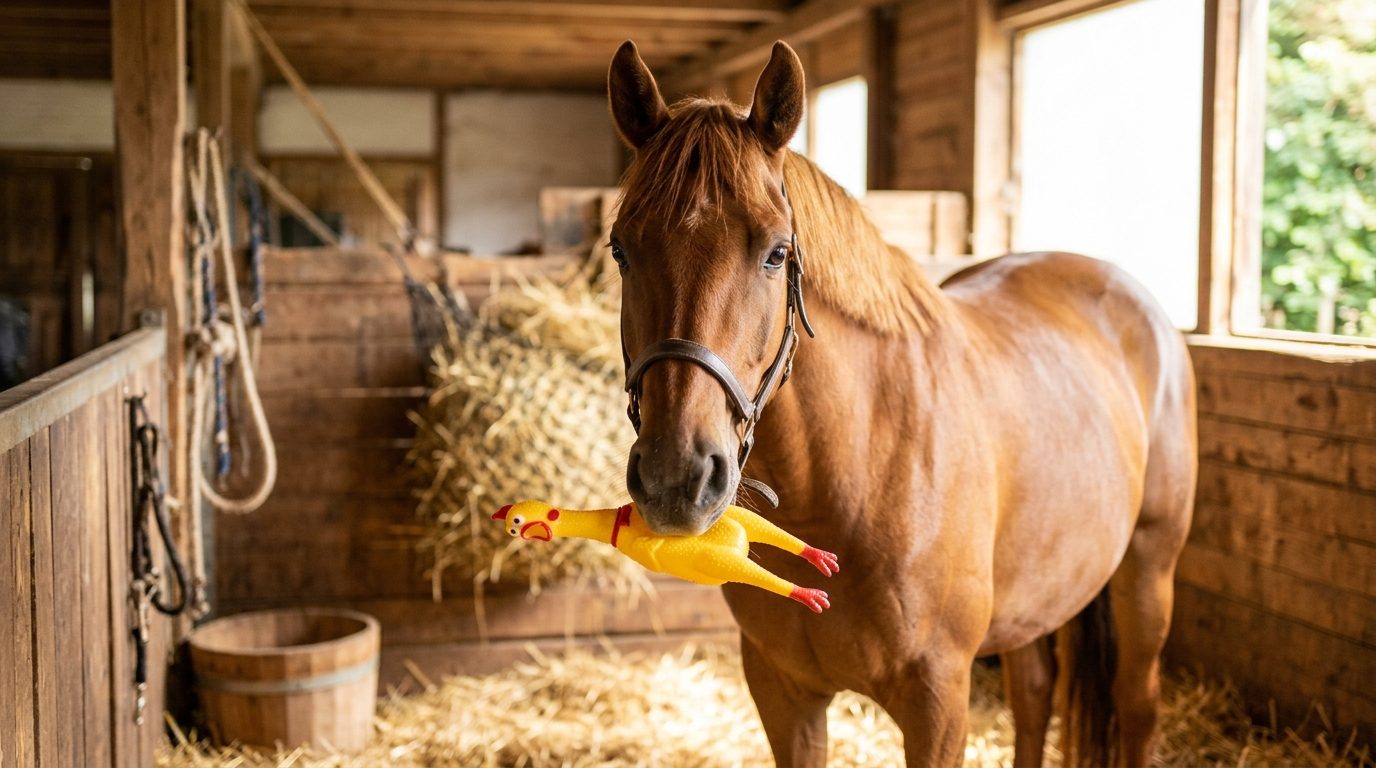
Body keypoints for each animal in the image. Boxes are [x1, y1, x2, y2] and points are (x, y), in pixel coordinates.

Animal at [606, 40, 1197, 768]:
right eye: (621, 249)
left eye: (776, 252)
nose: (676, 477)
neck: (855, 469)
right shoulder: (782, 691)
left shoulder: (936, 703)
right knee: (1034, 693)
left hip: (1148, 572)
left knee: (1137, 705)